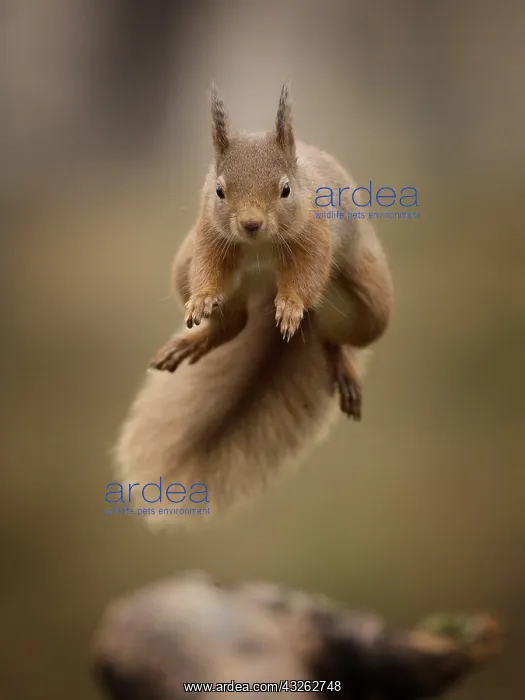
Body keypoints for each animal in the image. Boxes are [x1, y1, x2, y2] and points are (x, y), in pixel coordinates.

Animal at [114, 84, 394, 518]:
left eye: (285, 189)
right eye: (219, 190)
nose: (251, 224)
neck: (260, 245)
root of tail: (262, 292)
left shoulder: (316, 233)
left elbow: (309, 270)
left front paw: (292, 305)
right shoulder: (208, 235)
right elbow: (207, 268)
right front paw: (202, 299)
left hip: (371, 306)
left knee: (331, 334)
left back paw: (338, 361)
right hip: (185, 269)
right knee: (234, 323)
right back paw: (197, 340)